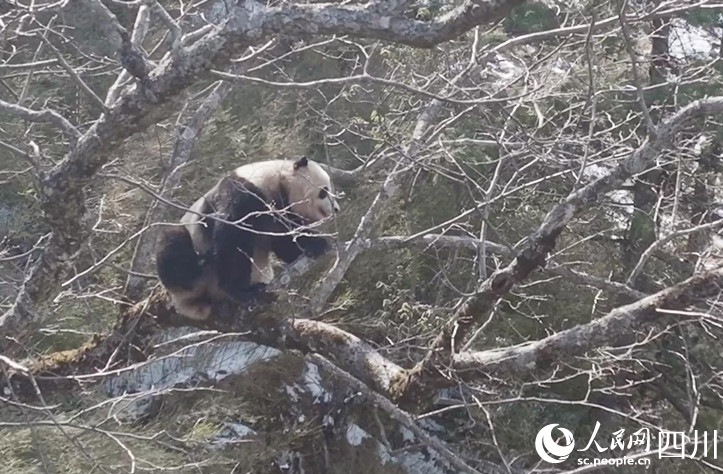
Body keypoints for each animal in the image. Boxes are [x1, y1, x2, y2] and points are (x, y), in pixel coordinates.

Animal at [155, 157, 340, 320]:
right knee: (173, 245)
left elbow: (286, 241)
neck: (278, 182)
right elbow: (233, 239)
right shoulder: (245, 192)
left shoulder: (280, 214)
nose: (336, 209)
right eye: (324, 191)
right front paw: (241, 292)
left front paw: (316, 244)